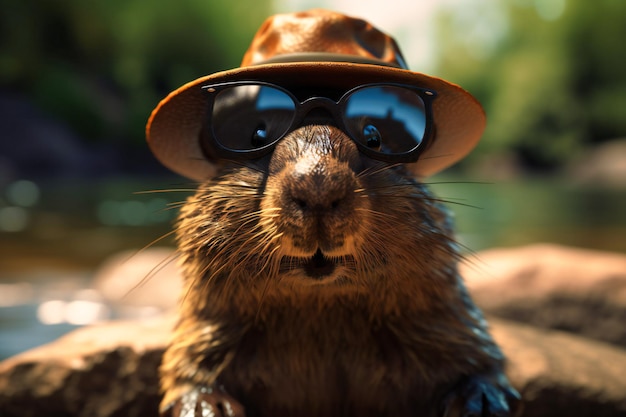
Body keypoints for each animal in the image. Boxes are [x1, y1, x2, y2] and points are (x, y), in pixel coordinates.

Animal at [149, 8, 520, 416]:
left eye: (374, 136)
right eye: (257, 135)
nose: (317, 185)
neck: (321, 308)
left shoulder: (447, 317)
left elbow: (480, 362)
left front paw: (482, 401)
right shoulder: (204, 326)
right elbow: (186, 368)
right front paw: (206, 406)